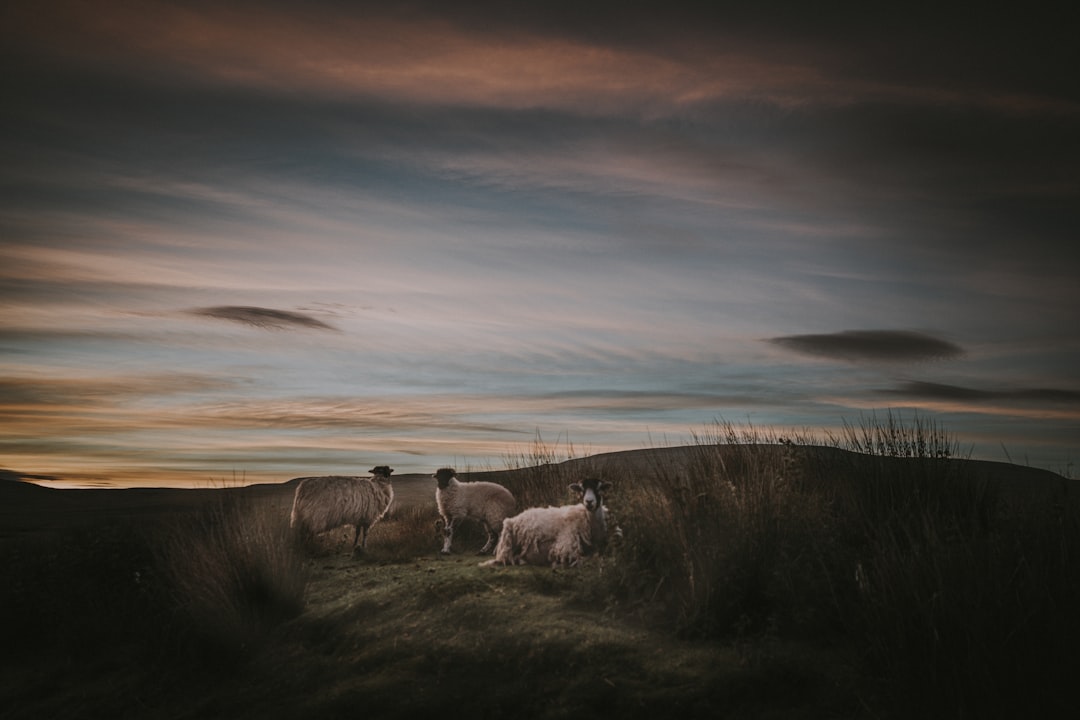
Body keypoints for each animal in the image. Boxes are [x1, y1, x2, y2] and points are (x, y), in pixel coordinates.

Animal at [483, 479, 617, 569]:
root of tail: (513, 518)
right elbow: (583, 559)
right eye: (581, 490)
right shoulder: (565, 549)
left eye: (599, 489)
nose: (589, 502)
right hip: (507, 546)